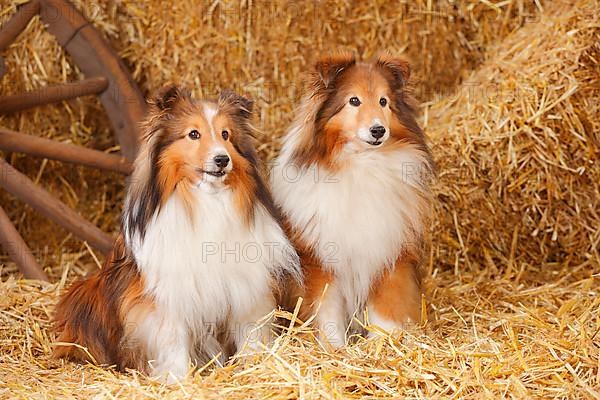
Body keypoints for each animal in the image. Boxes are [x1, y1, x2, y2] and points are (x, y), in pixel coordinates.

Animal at [54, 86, 300, 380]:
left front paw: (256, 366)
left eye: (226, 134)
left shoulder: (245, 287)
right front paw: (178, 379)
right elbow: (173, 341)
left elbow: (251, 333)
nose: (222, 159)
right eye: (193, 134)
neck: (207, 201)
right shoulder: (167, 296)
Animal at [272, 53, 432, 346]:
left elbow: (387, 307)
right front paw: (334, 347)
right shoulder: (321, 262)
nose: (378, 130)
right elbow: (327, 311)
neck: (362, 164)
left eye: (383, 101)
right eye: (354, 101)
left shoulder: (390, 255)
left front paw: (383, 343)